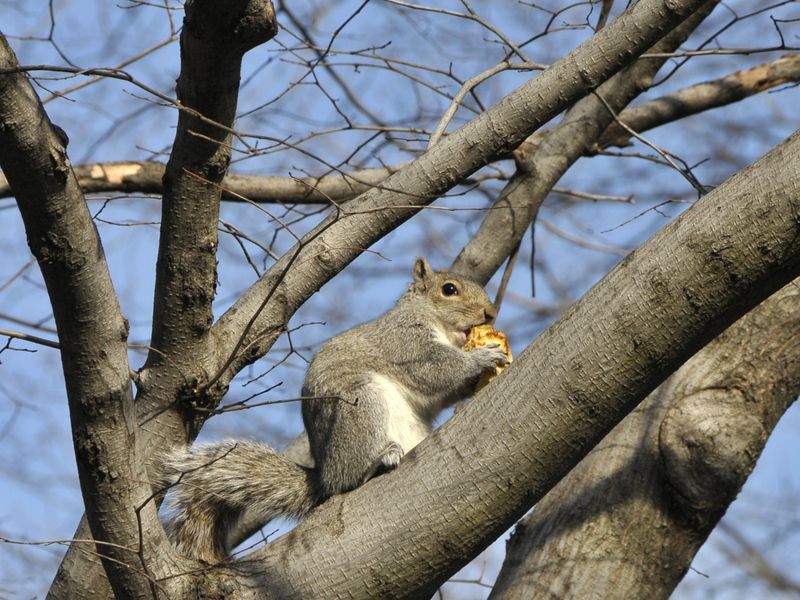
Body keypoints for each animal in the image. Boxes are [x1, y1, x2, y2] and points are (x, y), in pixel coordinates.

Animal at [160, 258, 510, 564]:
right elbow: (434, 368)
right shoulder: (404, 341)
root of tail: (324, 475)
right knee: (348, 479)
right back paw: (379, 460)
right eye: (449, 289)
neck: (433, 320)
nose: (490, 313)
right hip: (360, 406)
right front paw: (479, 357)